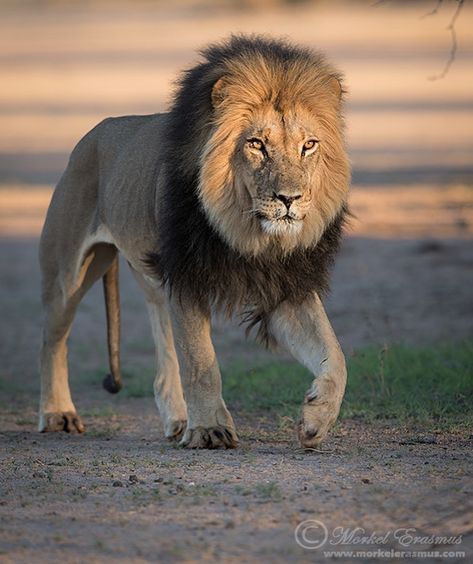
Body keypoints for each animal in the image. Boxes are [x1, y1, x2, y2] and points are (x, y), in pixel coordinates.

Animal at [38, 35, 348, 450]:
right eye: (256, 144)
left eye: (309, 145)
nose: (289, 199)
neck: (248, 232)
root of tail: (95, 132)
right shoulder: (187, 276)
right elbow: (201, 362)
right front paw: (210, 430)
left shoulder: (284, 286)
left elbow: (335, 353)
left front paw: (316, 420)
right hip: (68, 273)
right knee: (53, 338)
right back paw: (58, 414)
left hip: (153, 276)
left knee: (164, 352)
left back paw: (178, 420)